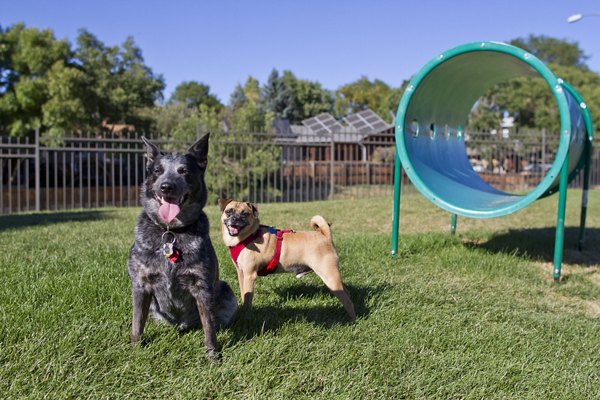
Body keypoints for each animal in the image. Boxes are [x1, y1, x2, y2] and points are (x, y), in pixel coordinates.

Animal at [127, 134, 237, 360]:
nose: (166, 186)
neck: (171, 232)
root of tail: (182, 325)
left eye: (184, 170)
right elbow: (136, 323)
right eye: (157, 170)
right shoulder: (140, 285)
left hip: (224, 289)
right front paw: (135, 349)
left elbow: (209, 326)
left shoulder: (202, 286)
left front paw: (213, 355)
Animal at [218, 200, 354, 322]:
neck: (249, 236)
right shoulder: (241, 274)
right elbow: (243, 293)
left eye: (245, 214)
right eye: (228, 211)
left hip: (329, 276)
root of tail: (325, 236)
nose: (234, 219)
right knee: (347, 293)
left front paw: (247, 315)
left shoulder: (249, 275)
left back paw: (352, 321)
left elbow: (248, 298)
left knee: (348, 301)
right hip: (333, 277)